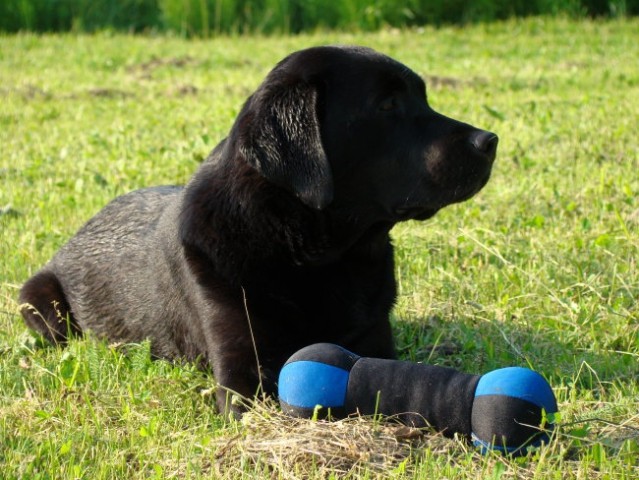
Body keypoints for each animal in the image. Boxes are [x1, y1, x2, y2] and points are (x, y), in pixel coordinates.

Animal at [20, 46, 498, 416]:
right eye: (387, 105)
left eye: (422, 97)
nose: (490, 140)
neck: (316, 256)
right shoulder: (243, 375)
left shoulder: (375, 340)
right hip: (39, 303)